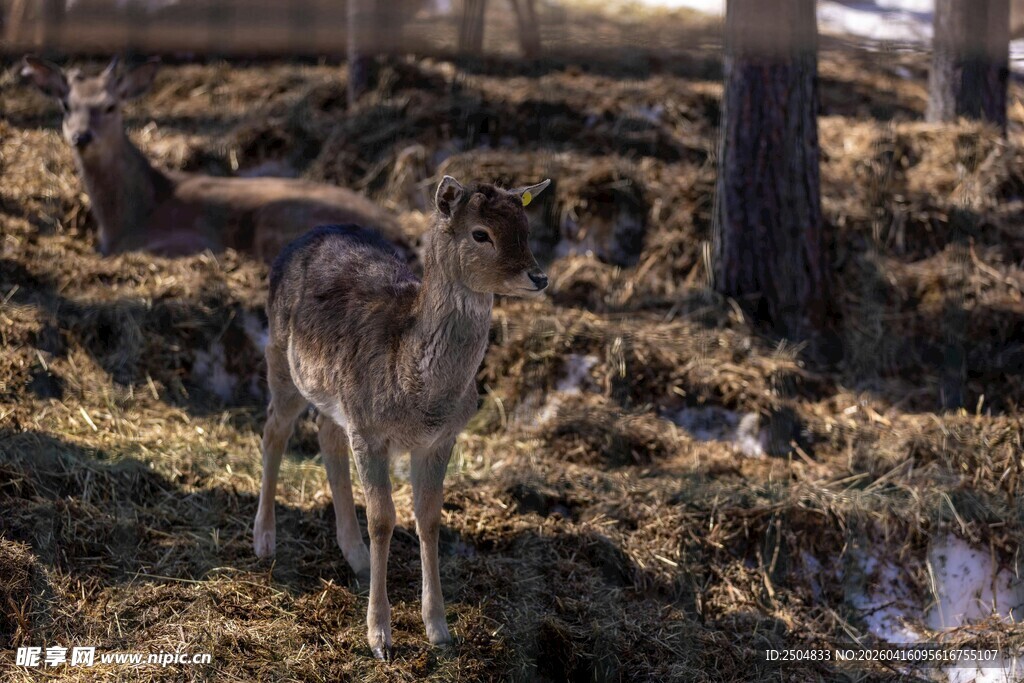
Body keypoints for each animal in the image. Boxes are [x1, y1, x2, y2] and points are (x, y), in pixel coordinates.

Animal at [20, 56, 409, 262]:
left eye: (110, 106)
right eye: (66, 105)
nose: (81, 136)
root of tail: (400, 234)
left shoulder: (185, 240)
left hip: (279, 220)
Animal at [252, 175, 551, 658]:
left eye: (526, 226)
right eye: (480, 233)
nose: (539, 276)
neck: (419, 395)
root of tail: (300, 240)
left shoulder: (441, 438)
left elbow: (428, 519)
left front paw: (439, 630)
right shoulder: (371, 430)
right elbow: (383, 519)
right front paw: (379, 637)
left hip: (336, 398)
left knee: (326, 434)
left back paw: (353, 554)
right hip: (281, 357)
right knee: (273, 430)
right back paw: (264, 540)